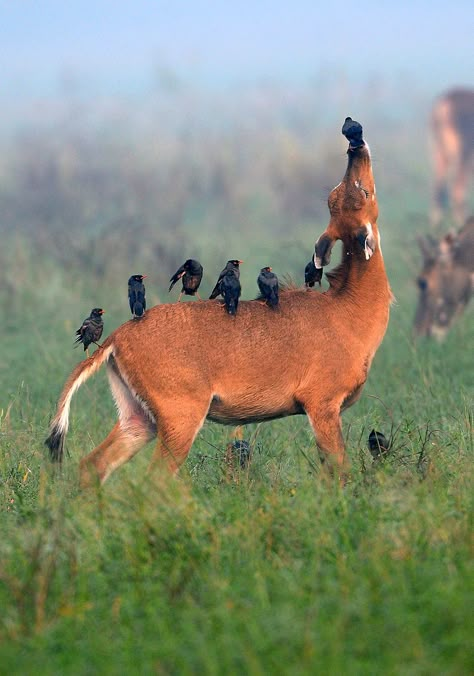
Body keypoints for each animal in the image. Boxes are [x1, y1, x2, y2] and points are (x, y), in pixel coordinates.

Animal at [46, 116, 390, 486]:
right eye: (363, 191)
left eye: (341, 194)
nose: (355, 145)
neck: (347, 310)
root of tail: (115, 338)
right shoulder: (322, 404)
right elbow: (339, 470)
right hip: (180, 415)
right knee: (156, 477)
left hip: (138, 418)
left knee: (92, 464)